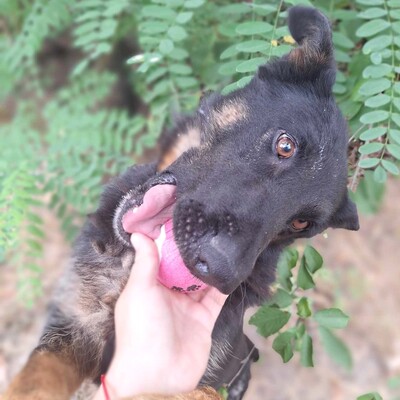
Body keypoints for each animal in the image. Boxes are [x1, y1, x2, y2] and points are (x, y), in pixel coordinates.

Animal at [3, 5, 360, 400]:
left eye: (299, 225)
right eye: (285, 145)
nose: (219, 269)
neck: (127, 270)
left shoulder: (199, 378)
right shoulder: (74, 328)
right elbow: (36, 377)